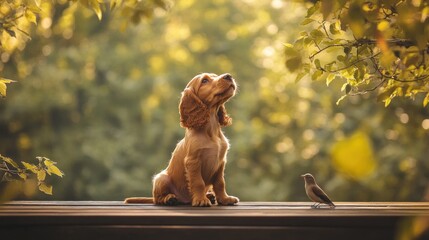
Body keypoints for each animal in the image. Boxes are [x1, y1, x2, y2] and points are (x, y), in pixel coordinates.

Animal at [123, 73, 239, 206]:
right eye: (204, 81)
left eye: (215, 75)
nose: (228, 76)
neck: (211, 130)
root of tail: (185, 200)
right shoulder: (193, 161)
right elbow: (198, 182)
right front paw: (201, 200)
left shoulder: (220, 162)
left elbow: (220, 183)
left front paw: (225, 199)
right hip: (161, 178)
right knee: (157, 198)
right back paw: (170, 198)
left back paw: (209, 196)